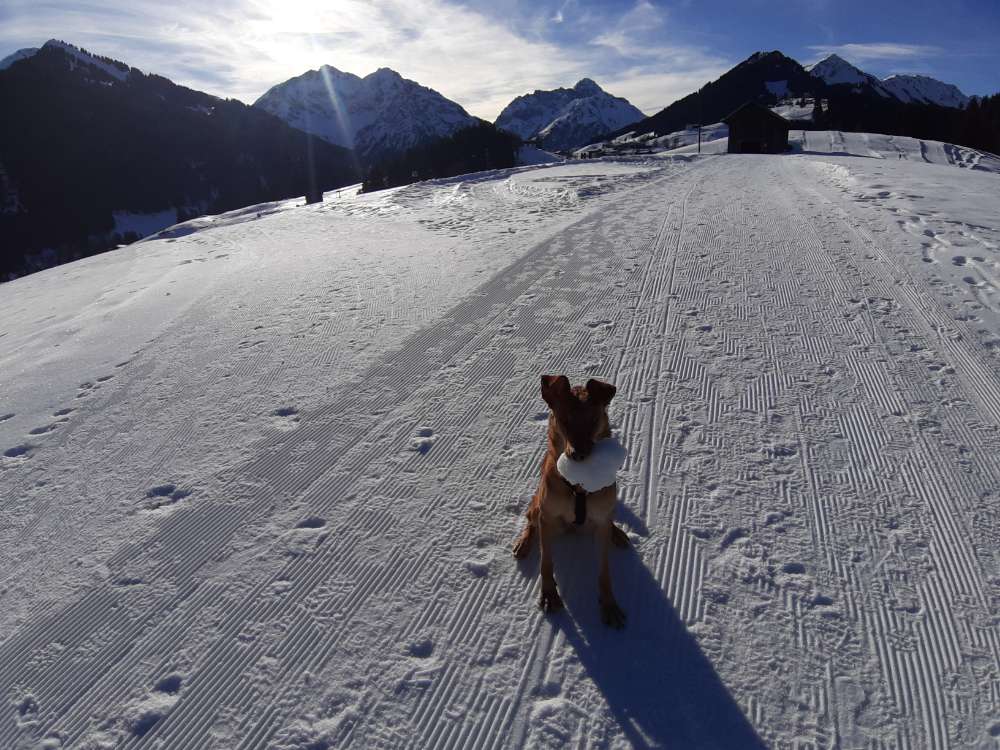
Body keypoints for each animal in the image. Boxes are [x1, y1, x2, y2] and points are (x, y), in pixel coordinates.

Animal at [516, 376, 624, 628]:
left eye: (594, 419)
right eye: (564, 420)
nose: (578, 455)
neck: (579, 488)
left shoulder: (601, 522)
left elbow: (604, 571)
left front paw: (609, 603)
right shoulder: (547, 516)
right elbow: (546, 562)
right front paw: (549, 594)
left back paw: (617, 532)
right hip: (537, 504)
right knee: (530, 521)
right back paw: (523, 543)